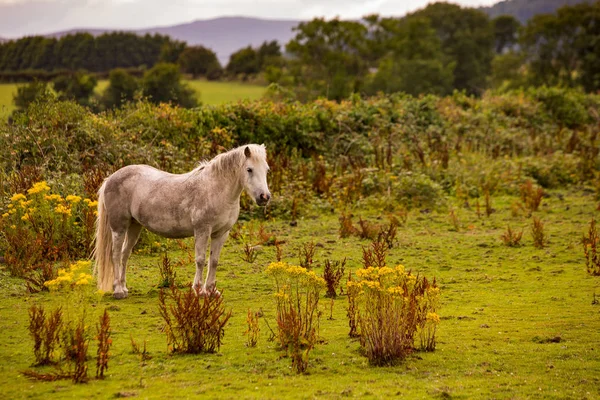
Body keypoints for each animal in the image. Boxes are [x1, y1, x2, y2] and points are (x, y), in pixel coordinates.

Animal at [94, 143, 272, 296]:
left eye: (267, 170)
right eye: (249, 169)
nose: (264, 197)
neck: (215, 189)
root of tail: (110, 179)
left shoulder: (221, 233)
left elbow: (214, 261)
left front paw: (212, 291)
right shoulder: (202, 230)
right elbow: (200, 260)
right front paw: (199, 290)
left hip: (134, 226)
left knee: (124, 254)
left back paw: (124, 287)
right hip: (119, 227)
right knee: (116, 254)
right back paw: (118, 291)